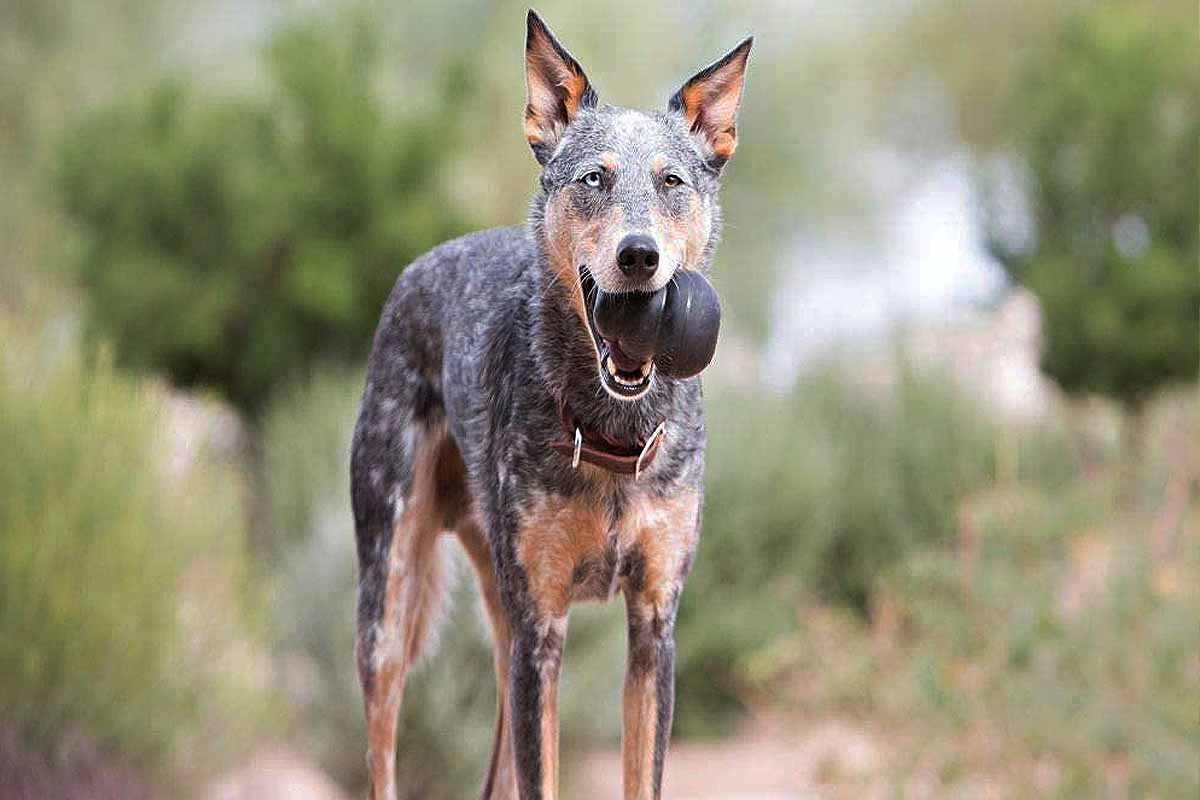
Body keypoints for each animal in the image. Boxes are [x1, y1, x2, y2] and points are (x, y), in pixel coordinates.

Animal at [348, 12, 753, 800]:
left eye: (671, 181)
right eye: (594, 178)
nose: (638, 256)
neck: (613, 435)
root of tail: (418, 267)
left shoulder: (652, 626)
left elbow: (641, 778)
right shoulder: (543, 630)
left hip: (502, 622)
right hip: (391, 605)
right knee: (382, 757)